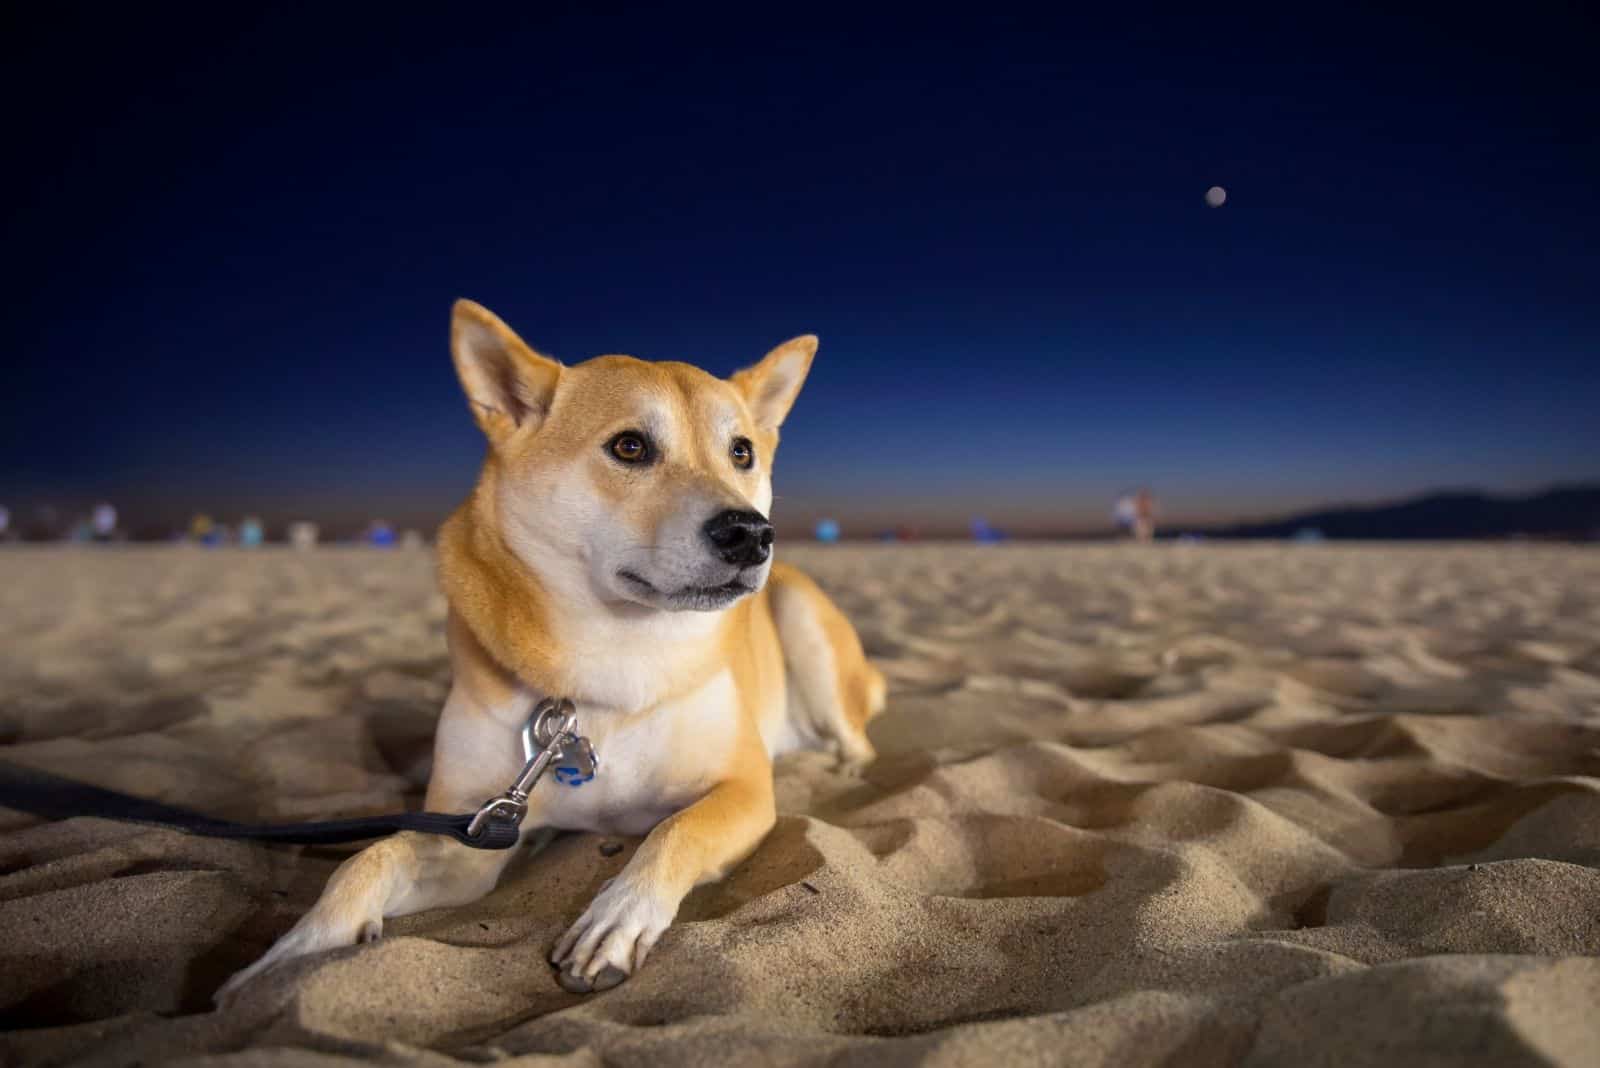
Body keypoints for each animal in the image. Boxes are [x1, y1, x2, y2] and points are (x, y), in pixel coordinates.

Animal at [217, 298, 883, 1004]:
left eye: (741, 452)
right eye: (630, 446)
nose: (751, 534)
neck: (616, 660)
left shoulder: (744, 790)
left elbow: (675, 831)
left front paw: (617, 918)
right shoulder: (473, 830)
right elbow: (367, 861)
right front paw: (286, 962)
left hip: (801, 614)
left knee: (854, 736)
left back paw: (840, 767)